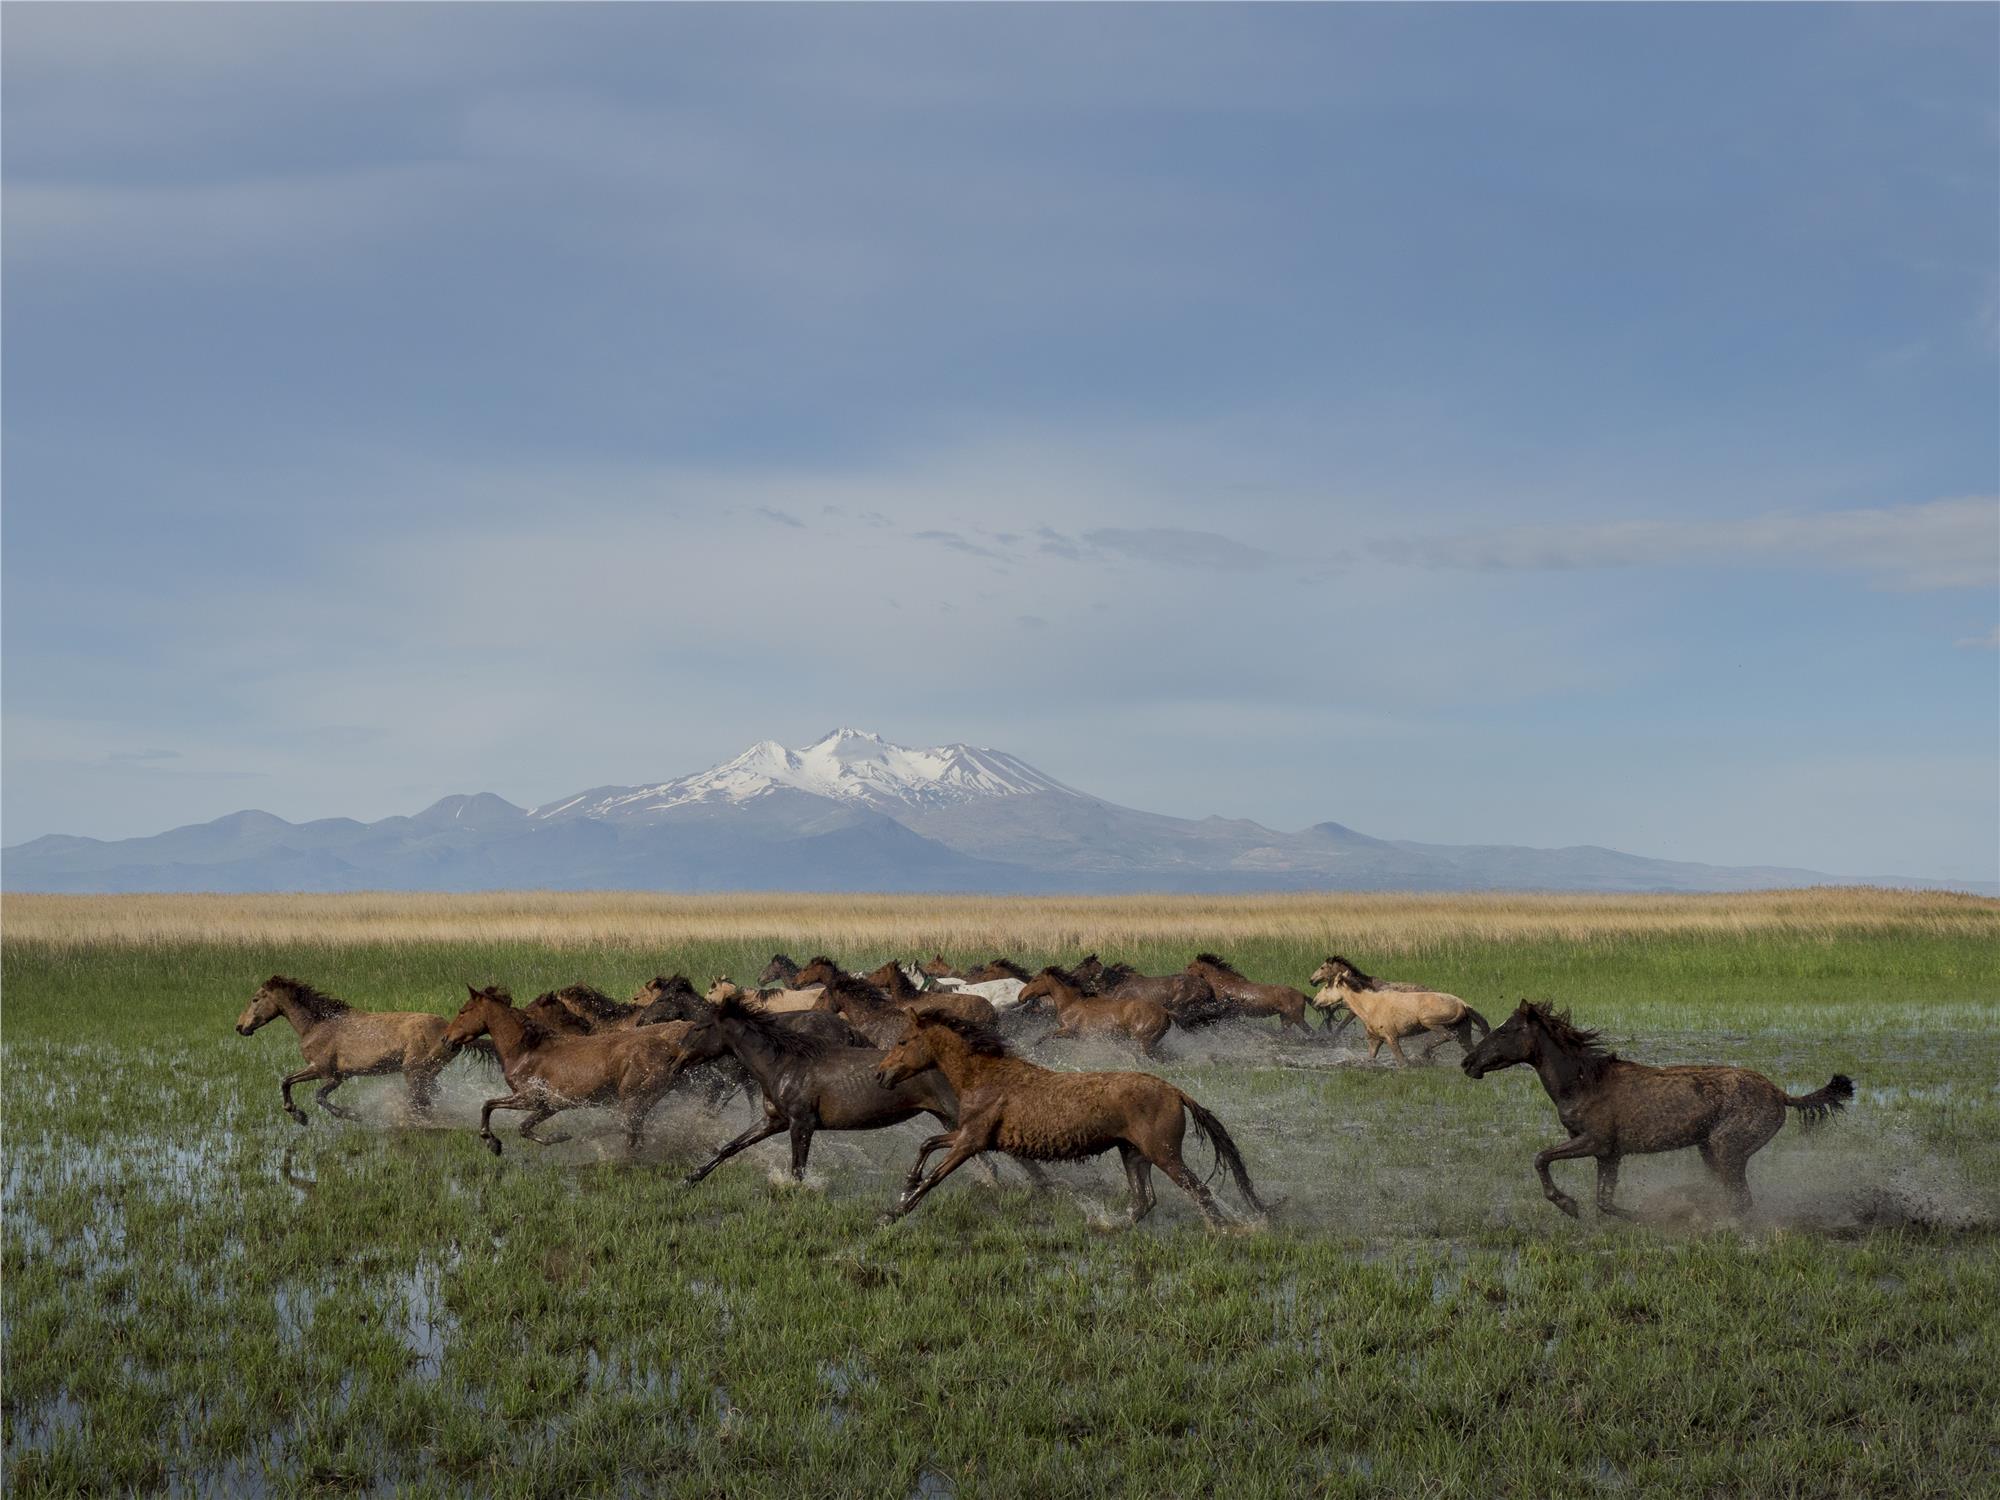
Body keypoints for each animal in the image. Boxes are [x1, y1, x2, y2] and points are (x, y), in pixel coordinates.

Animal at [236, 976, 456, 1128]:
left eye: (255, 999)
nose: (240, 1027)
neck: (316, 1025)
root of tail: (449, 1030)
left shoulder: (331, 1075)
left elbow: (319, 1096)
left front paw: (352, 1115)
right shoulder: (324, 1071)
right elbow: (286, 1080)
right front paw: (298, 1115)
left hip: (414, 1071)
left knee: (421, 1102)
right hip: (427, 1072)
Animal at [438, 992, 688, 1160]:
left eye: (463, 1011)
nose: (446, 1038)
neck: (525, 1050)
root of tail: (672, 1054)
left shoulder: (529, 1099)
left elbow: (489, 1105)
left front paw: (492, 1142)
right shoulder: (549, 1106)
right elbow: (522, 1127)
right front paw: (559, 1137)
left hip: (632, 1099)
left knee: (631, 1134)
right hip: (641, 1102)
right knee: (635, 1133)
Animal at [1016, 968, 1168, 1064]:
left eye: (1036, 980)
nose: (1020, 996)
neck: (1070, 1002)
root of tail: (1166, 1013)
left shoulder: (1068, 1030)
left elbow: (1044, 1037)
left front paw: (1031, 1051)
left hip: (1142, 1042)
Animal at [1184, 956, 1312, 1040]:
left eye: (1189, 967)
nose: (1182, 977)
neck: (1224, 983)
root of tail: (1303, 994)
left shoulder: (1225, 1011)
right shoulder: (1232, 1014)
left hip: (1297, 1017)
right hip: (1286, 1019)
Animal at [1456, 1004, 1856, 1224]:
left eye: (1505, 1030)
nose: (1467, 1062)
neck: (1580, 1081)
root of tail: (1781, 1094)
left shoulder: (1593, 1141)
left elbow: (1540, 1158)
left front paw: (1567, 1204)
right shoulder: (1609, 1153)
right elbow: (1605, 1201)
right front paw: (1644, 1217)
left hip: (1727, 1148)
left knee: (1742, 1199)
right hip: (1709, 1149)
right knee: (1735, 1197)